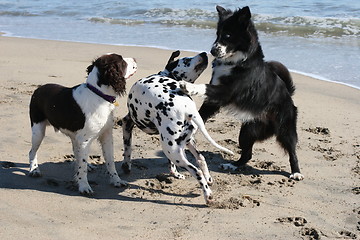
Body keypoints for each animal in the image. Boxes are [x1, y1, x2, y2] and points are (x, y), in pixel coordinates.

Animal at [28, 53, 137, 194]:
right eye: (122, 61)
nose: (135, 59)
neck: (99, 95)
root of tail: (38, 89)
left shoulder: (106, 136)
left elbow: (110, 161)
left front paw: (116, 181)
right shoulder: (85, 140)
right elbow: (82, 166)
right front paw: (84, 186)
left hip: (74, 136)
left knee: (77, 153)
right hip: (38, 130)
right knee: (32, 151)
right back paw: (34, 169)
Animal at [119, 51, 235, 204]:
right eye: (186, 60)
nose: (204, 53)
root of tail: (188, 107)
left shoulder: (127, 123)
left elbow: (127, 150)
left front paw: (126, 166)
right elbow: (173, 164)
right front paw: (175, 173)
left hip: (172, 150)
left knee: (196, 171)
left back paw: (208, 195)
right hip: (182, 144)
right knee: (201, 159)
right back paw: (208, 179)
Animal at [180, 6, 304, 180]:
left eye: (228, 35)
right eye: (217, 34)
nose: (212, 50)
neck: (236, 62)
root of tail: (288, 95)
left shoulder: (226, 92)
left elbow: (205, 87)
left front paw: (189, 86)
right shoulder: (214, 101)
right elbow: (202, 112)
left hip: (285, 129)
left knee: (292, 151)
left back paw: (296, 172)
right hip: (247, 131)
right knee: (247, 154)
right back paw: (232, 165)